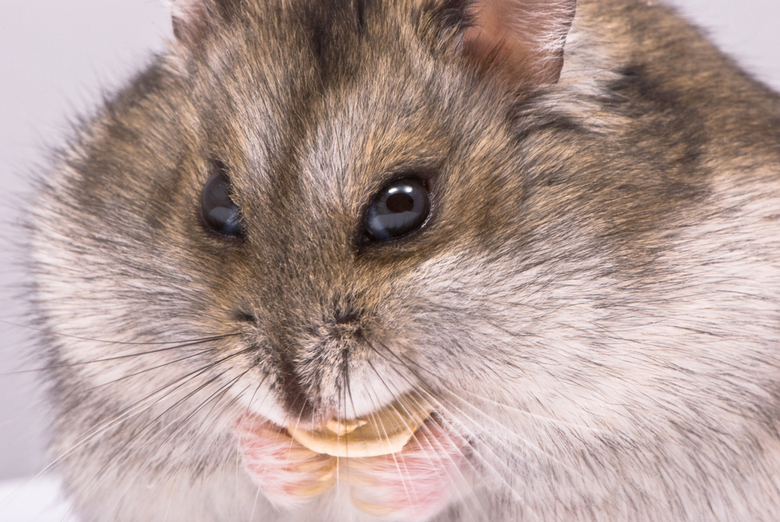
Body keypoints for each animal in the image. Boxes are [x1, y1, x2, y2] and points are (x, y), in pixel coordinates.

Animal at [27, 1, 780, 520]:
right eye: (217, 203)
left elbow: (468, 455)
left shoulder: (622, 417)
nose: (298, 410)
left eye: (401, 206)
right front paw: (282, 454)